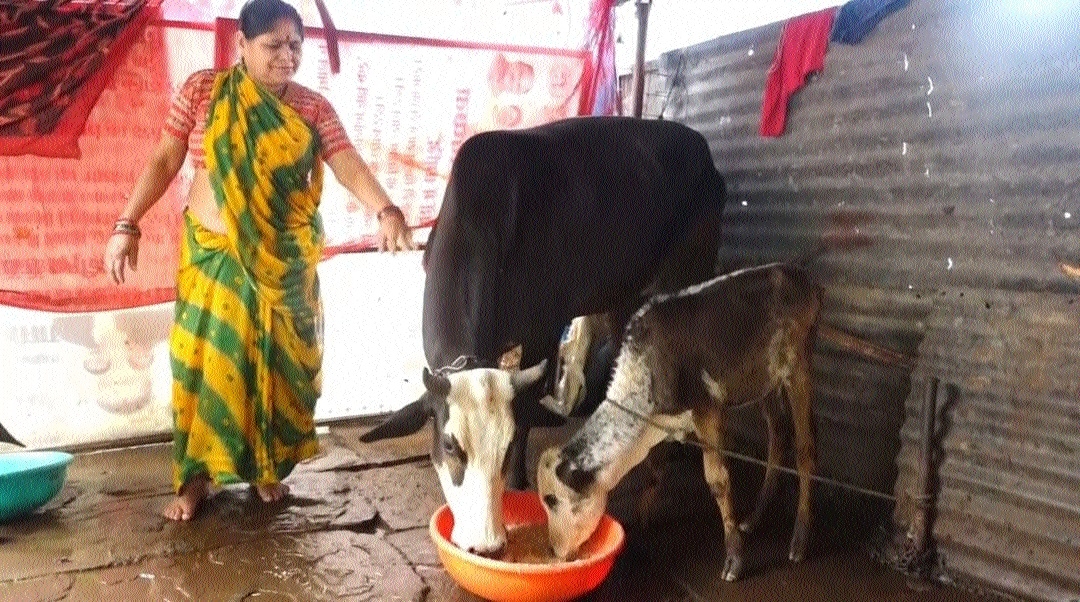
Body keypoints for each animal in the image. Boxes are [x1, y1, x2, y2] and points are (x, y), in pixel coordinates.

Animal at [360, 116, 727, 556]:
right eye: (449, 446)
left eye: (503, 449)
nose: (486, 546)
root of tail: (700, 145)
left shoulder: (544, 328)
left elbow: (530, 407)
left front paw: (519, 483)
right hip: (620, 296)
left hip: (683, 276)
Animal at [537, 263, 822, 582]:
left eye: (551, 499)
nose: (553, 550)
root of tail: (801, 276)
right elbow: (655, 468)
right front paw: (643, 516)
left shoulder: (707, 410)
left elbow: (718, 480)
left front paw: (734, 559)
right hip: (764, 382)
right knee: (778, 433)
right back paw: (754, 518)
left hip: (798, 368)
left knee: (805, 447)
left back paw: (799, 540)